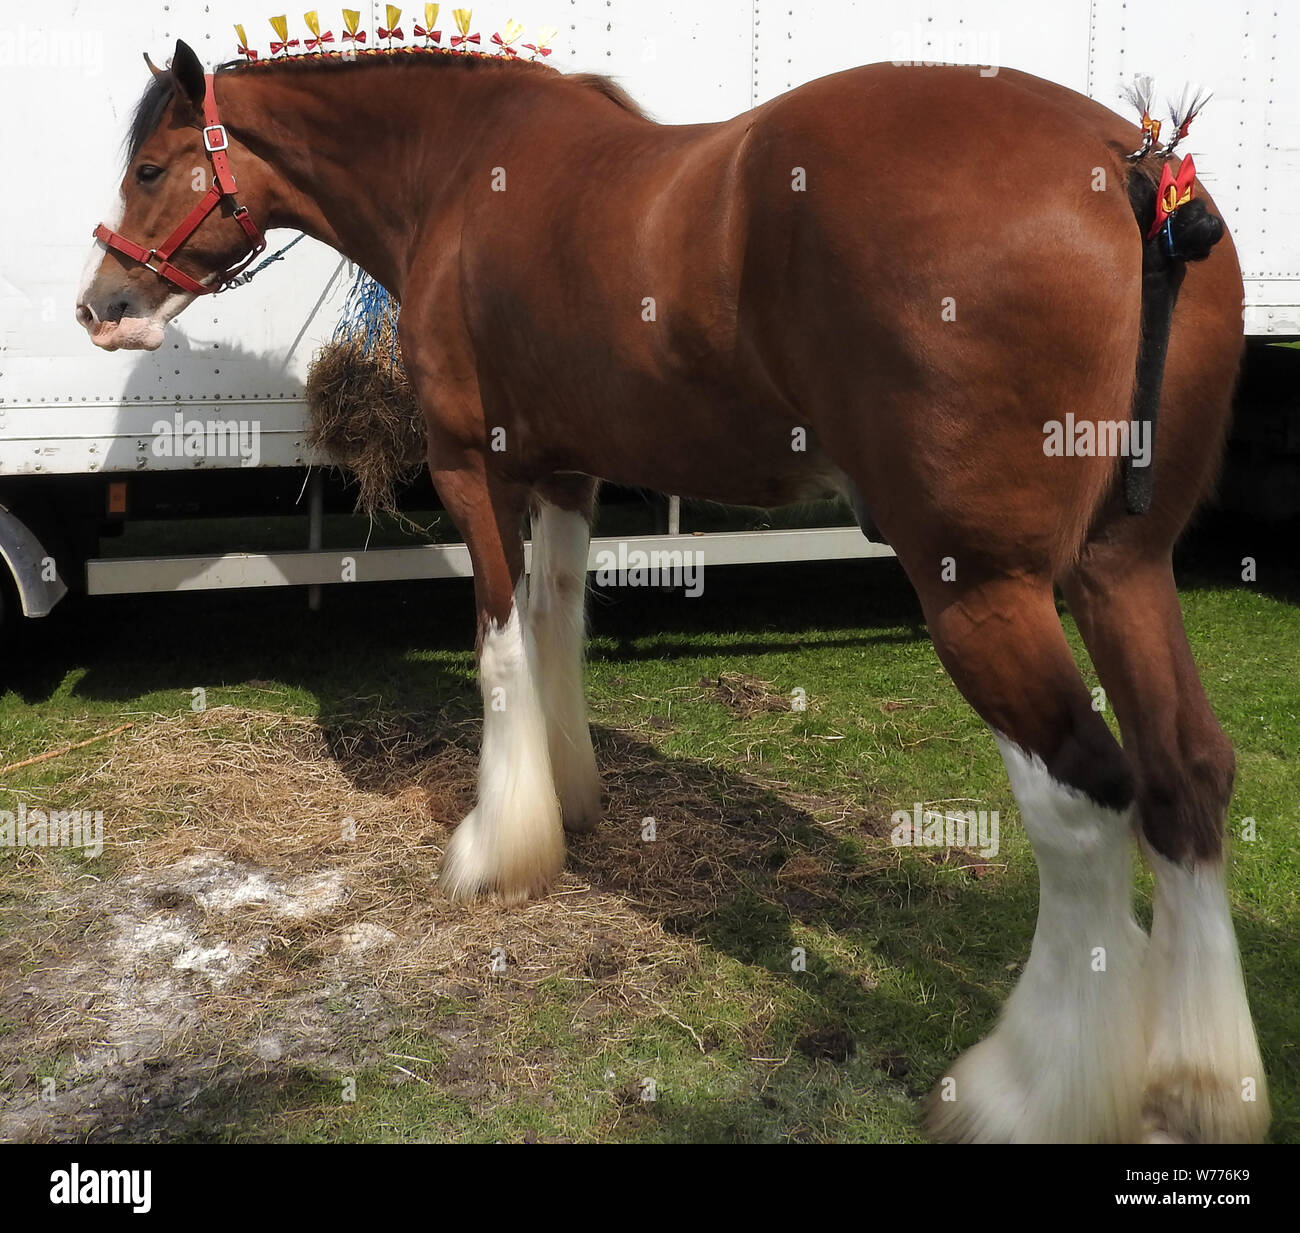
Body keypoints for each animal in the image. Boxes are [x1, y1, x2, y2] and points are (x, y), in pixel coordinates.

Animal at [76, 40, 1263, 1144]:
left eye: (150, 166)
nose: (103, 305)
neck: (455, 168)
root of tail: (1130, 170)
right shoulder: (566, 471)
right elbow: (555, 620)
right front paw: (567, 796)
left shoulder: (467, 466)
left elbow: (502, 640)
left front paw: (497, 846)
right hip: (1122, 570)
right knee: (1185, 776)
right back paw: (1197, 1085)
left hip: (982, 590)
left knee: (1084, 803)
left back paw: (1024, 1090)